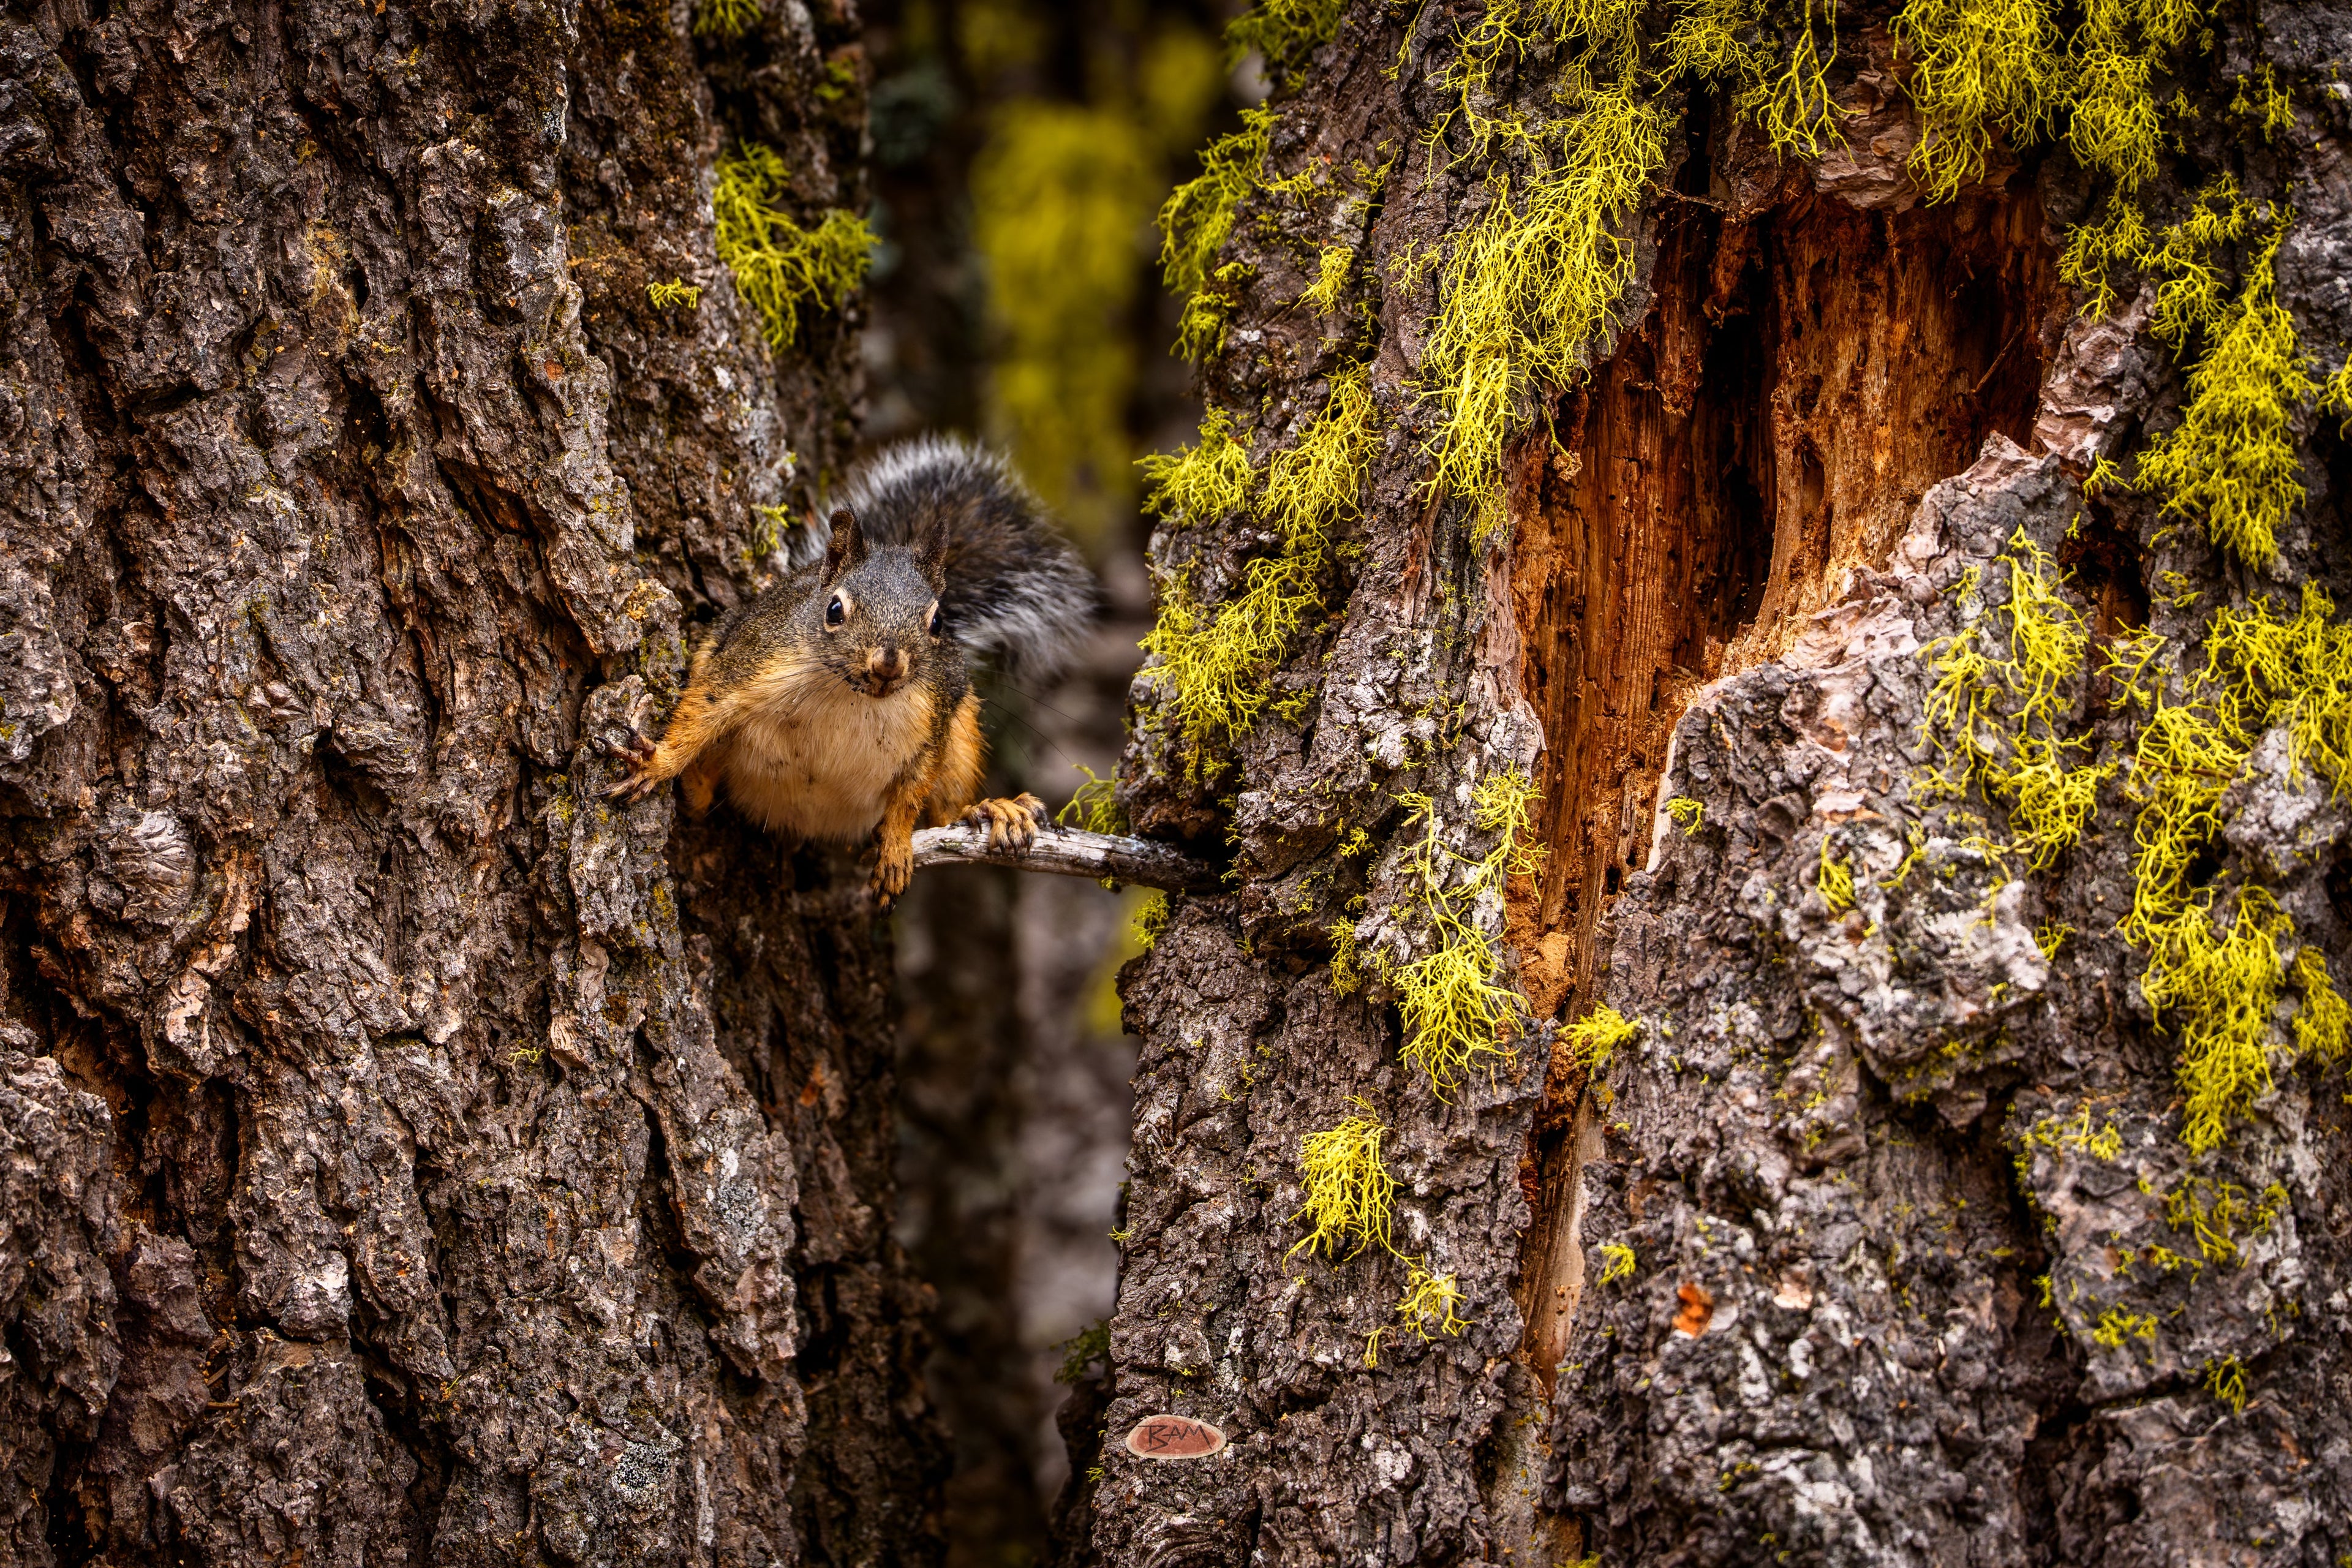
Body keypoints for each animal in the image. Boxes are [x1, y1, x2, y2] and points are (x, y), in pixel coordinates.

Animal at [608, 436, 1095, 905]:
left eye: (938, 622)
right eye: (834, 610)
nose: (888, 663)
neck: (848, 694)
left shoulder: (931, 724)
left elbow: (911, 795)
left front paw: (896, 849)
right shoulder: (751, 665)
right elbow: (702, 714)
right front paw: (659, 764)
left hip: (960, 736)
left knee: (943, 811)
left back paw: (990, 810)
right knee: (703, 799)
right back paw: (695, 781)